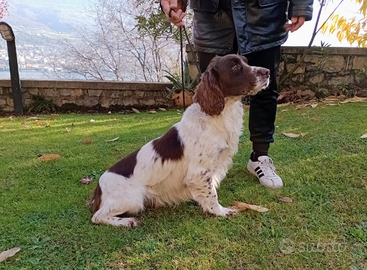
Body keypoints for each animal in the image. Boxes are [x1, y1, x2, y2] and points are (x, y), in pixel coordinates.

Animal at [92, 53, 270, 227]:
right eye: (234, 66)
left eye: (246, 62)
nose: (267, 72)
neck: (219, 114)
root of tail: (98, 188)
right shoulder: (199, 172)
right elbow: (212, 195)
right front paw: (221, 212)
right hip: (133, 198)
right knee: (97, 216)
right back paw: (127, 221)